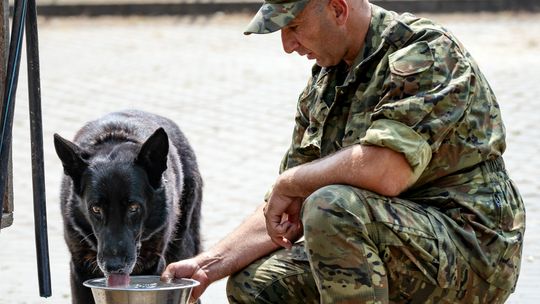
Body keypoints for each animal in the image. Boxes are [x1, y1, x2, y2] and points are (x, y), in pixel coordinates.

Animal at [54, 110, 202, 304]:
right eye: (96, 209)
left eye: (133, 207)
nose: (113, 267)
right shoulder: (79, 269)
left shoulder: (155, 265)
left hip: (182, 247)